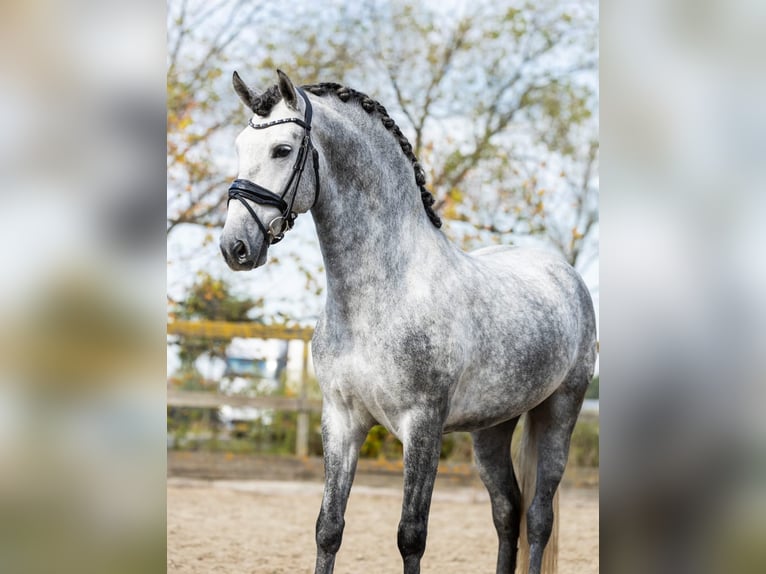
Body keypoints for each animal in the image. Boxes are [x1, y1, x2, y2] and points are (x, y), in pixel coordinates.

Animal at [219, 68, 596, 574]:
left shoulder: (422, 426)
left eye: (281, 149)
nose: (235, 247)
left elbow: (411, 535)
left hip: (560, 412)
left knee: (537, 518)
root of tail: (565, 274)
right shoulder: (341, 420)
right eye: (240, 146)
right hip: (491, 429)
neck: (382, 293)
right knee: (507, 512)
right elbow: (328, 528)